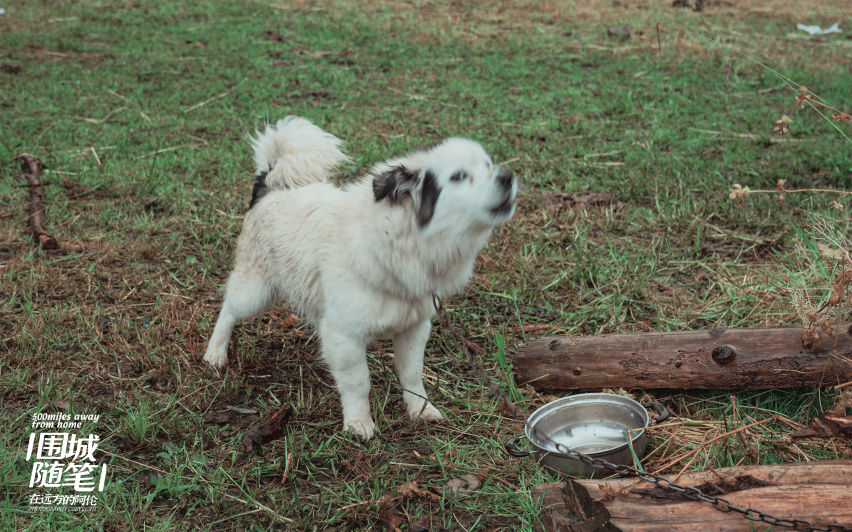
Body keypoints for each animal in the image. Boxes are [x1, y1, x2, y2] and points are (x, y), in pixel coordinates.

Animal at [203, 117, 516, 440]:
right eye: (458, 176)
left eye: (489, 165)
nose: (508, 178)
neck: (396, 243)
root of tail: (269, 187)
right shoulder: (344, 335)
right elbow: (357, 382)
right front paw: (358, 423)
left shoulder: (415, 326)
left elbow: (412, 373)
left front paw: (420, 410)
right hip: (256, 290)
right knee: (228, 309)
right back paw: (215, 353)